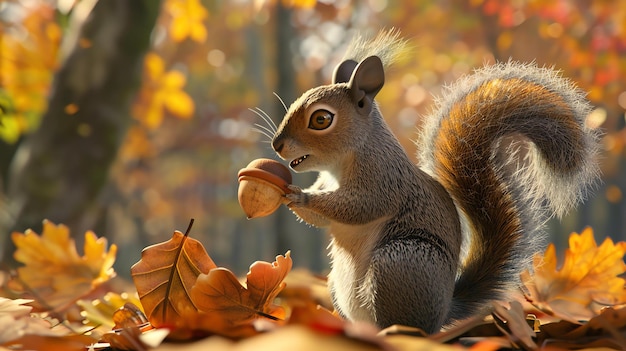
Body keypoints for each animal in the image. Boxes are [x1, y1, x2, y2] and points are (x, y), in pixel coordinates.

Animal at [270, 29, 600, 332]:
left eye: (321, 119)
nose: (277, 145)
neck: (340, 165)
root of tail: (444, 311)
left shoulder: (384, 177)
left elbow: (360, 206)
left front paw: (299, 196)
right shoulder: (329, 181)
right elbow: (324, 218)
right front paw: (289, 196)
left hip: (400, 262)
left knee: (406, 324)